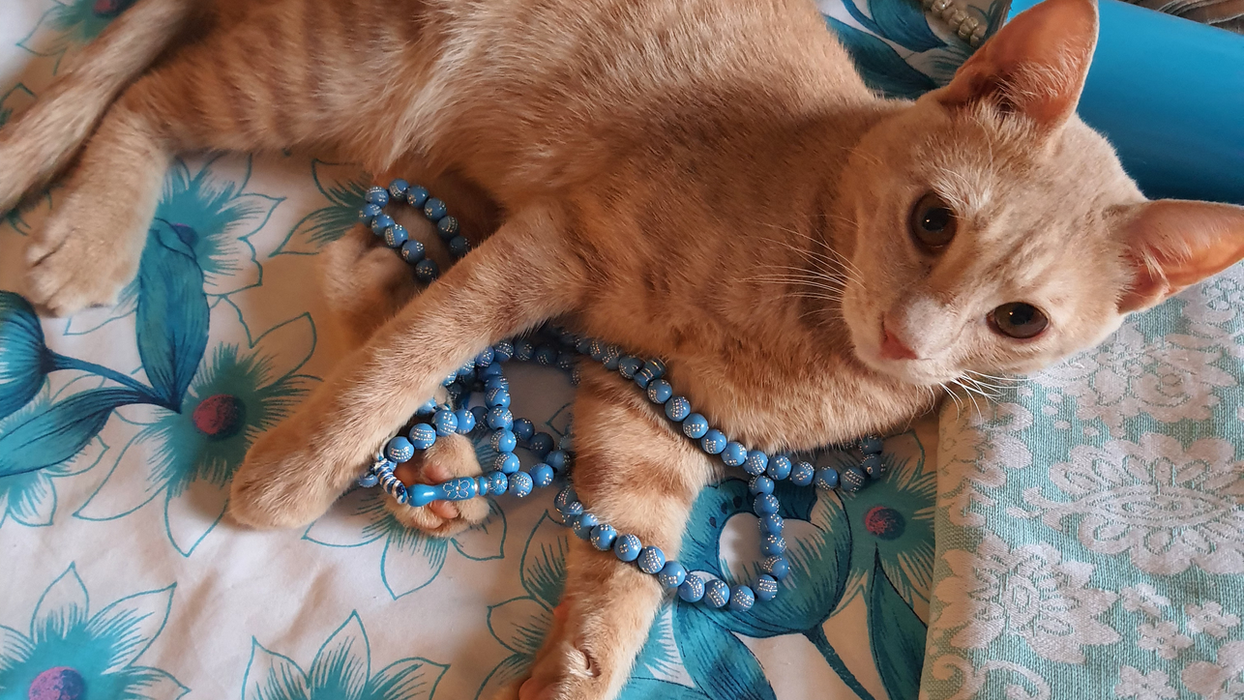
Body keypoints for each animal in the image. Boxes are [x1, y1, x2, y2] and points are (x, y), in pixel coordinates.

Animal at [3, 0, 1244, 697]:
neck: (806, 336)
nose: (908, 336)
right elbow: (412, 352)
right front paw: (295, 470)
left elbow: (629, 575)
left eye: (1017, 320)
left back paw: (442, 466)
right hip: (339, 76)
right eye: (932, 221)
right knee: (149, 91)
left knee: (358, 262)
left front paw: (575, 670)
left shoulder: (646, 422)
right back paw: (88, 224)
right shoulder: (555, 247)